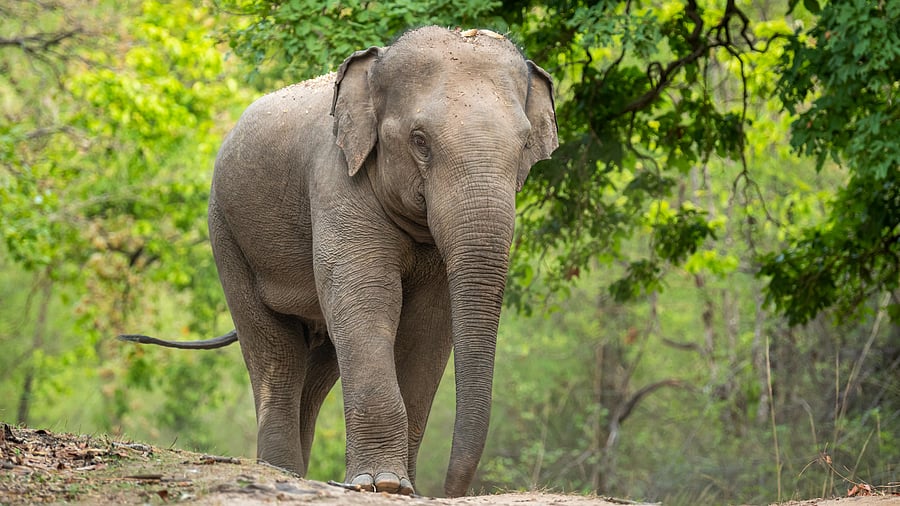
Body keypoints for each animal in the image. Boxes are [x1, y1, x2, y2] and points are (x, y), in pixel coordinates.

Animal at [120, 26, 558, 497]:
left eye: (525, 144)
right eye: (420, 141)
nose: (447, 491)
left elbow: (429, 324)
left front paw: (402, 487)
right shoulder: (335, 181)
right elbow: (365, 298)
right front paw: (383, 485)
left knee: (316, 369)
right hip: (226, 235)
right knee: (277, 355)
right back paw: (281, 470)